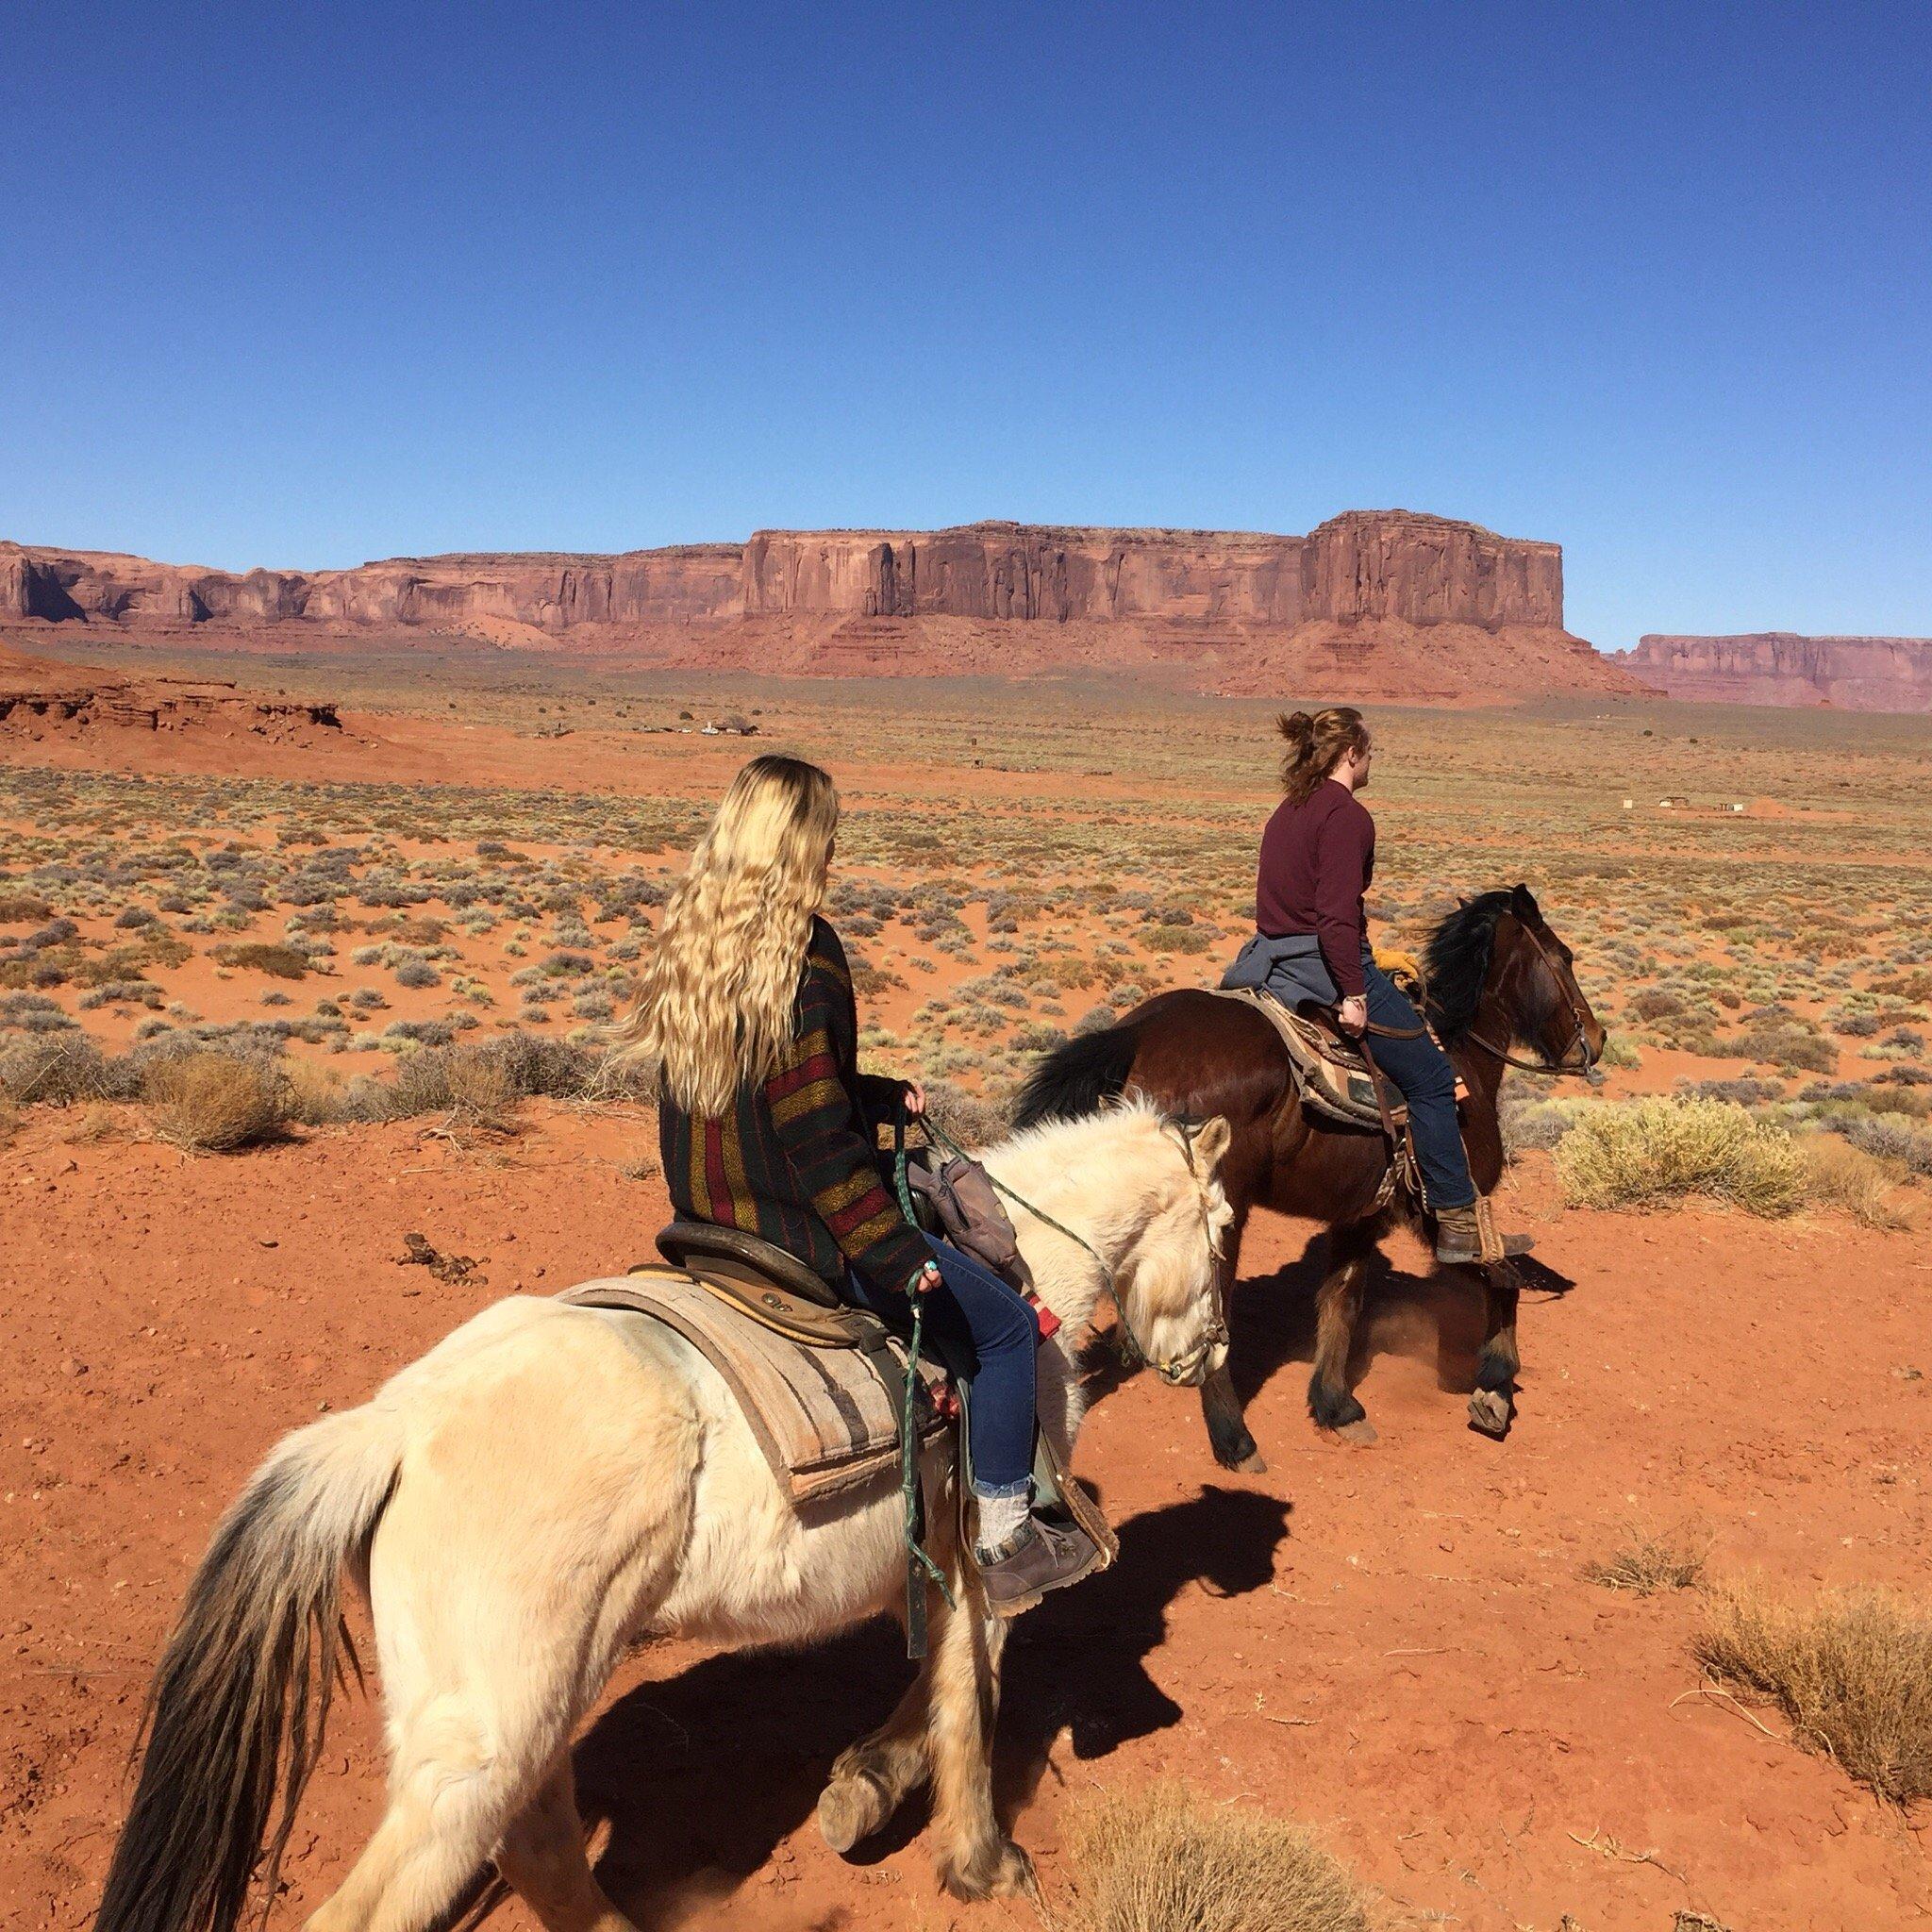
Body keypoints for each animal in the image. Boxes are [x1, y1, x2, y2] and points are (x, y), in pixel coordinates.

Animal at [93, 1105, 1236, 1932]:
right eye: (1226, 1231)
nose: (1206, 1356)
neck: (1023, 1276)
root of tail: (394, 1423)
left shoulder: (937, 1574)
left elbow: (932, 1694)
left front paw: (861, 1787)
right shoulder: (991, 1566)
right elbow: (969, 1704)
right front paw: (979, 1860)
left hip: (532, 1704)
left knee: (542, 1843)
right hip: (485, 1738)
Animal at [1012, 889, 1599, 1460]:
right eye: (1565, 958)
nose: (1595, 1038)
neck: (1464, 1065)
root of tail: (1135, 1033)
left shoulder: (1361, 1217)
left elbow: (1342, 1300)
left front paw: (1337, 1405)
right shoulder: (1447, 1211)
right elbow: (1504, 1277)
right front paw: (1495, 1386)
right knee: (1212, 1317)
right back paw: (1235, 1439)